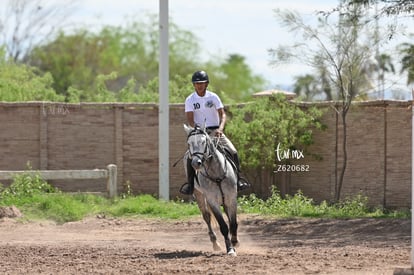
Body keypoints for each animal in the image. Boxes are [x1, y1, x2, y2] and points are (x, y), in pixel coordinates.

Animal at [184, 125, 239, 256]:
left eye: (203, 142)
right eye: (189, 143)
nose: (196, 163)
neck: (216, 173)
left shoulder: (231, 198)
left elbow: (233, 223)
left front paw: (235, 242)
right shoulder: (212, 201)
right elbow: (223, 226)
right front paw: (230, 249)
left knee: (228, 216)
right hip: (199, 195)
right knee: (207, 217)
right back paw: (215, 243)